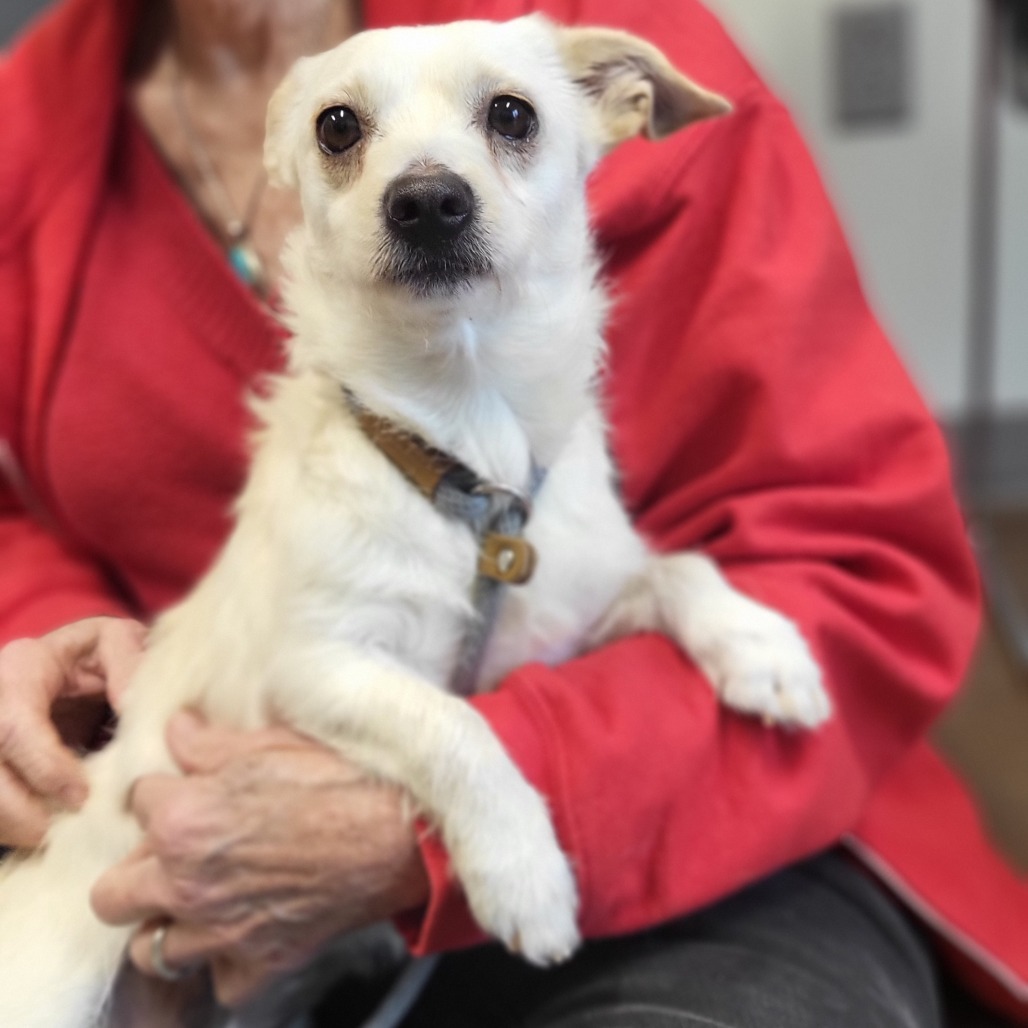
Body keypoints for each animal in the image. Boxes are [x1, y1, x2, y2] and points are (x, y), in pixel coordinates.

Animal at [0, 18, 826, 1028]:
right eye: (337, 127)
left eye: (512, 113)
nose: (427, 200)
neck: (465, 463)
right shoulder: (317, 670)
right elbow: (452, 725)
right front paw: (525, 875)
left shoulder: (570, 615)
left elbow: (677, 567)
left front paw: (764, 648)